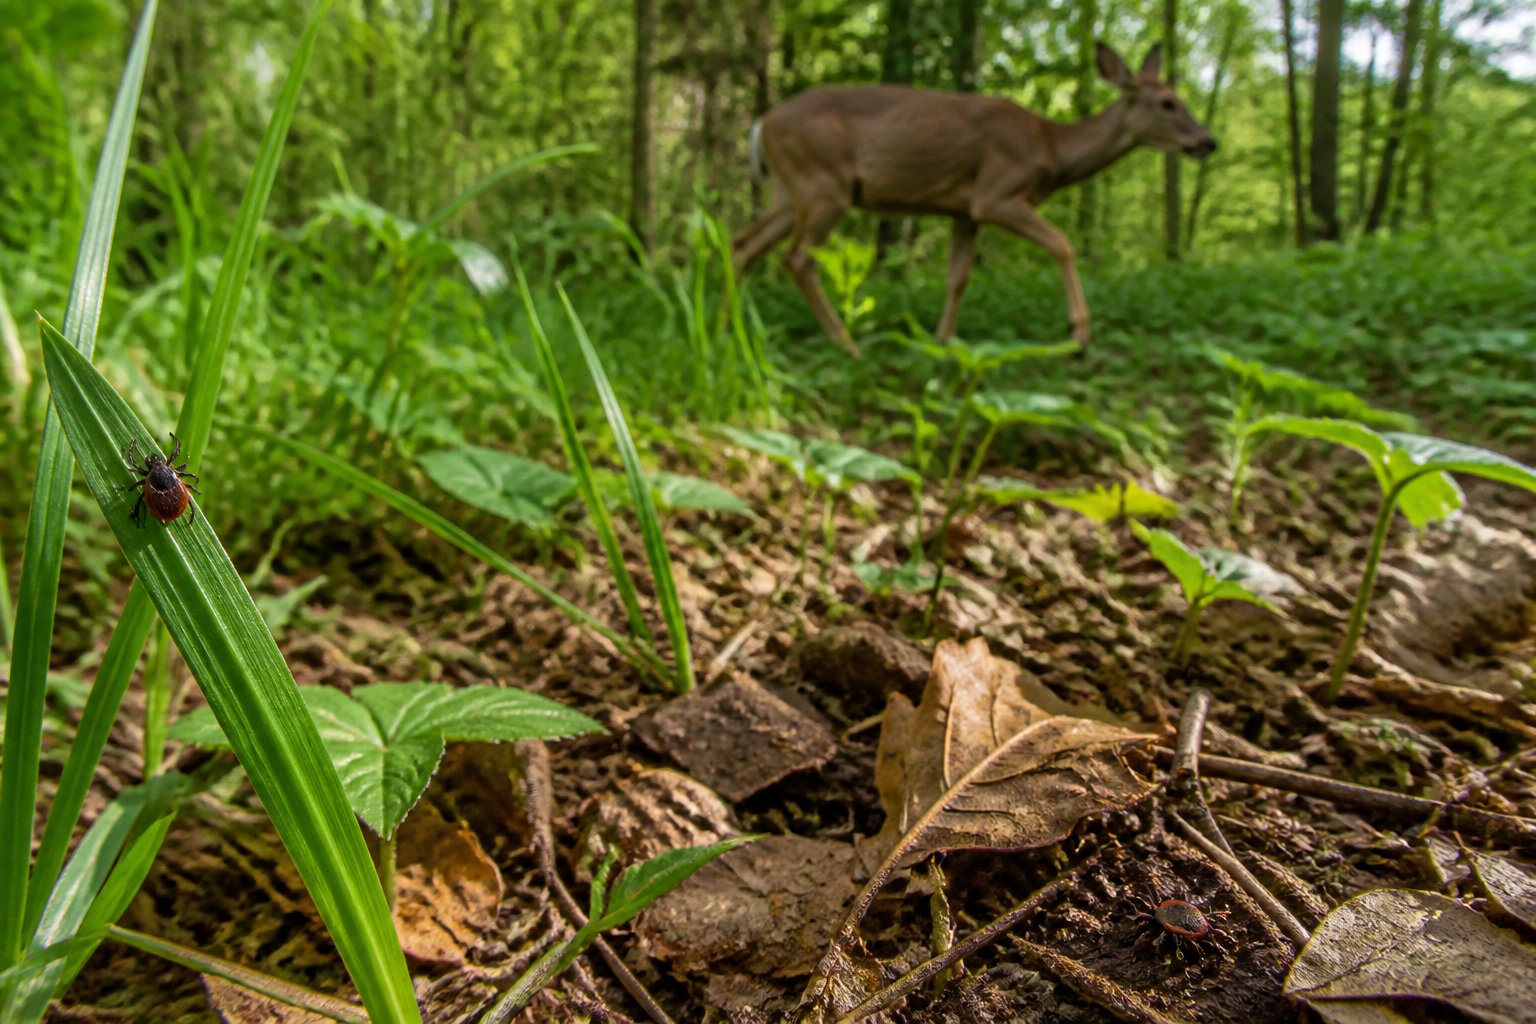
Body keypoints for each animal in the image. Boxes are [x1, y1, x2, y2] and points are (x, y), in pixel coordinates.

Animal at [730, 42, 1216, 357]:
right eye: (1169, 103)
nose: (1209, 141)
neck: (1052, 147)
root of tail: (761, 123)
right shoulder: (995, 194)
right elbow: (1062, 243)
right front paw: (1079, 332)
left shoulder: (963, 211)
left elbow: (958, 277)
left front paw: (942, 340)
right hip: (823, 184)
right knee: (796, 259)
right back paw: (847, 344)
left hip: (789, 192)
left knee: (742, 245)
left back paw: (723, 327)